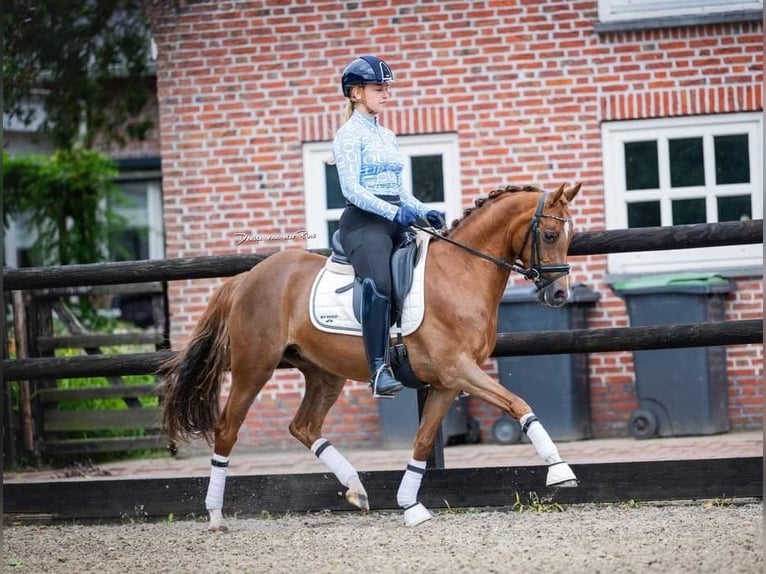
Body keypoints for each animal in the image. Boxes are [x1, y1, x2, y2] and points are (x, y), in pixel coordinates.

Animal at [160, 183, 584, 532]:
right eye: (549, 234)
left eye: (570, 235)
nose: (560, 295)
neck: (460, 272)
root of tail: (247, 277)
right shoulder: (458, 370)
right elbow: (518, 404)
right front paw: (560, 471)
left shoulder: (448, 382)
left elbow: (423, 441)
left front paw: (410, 506)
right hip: (255, 367)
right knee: (227, 429)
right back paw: (215, 515)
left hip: (324, 374)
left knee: (304, 426)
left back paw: (356, 488)